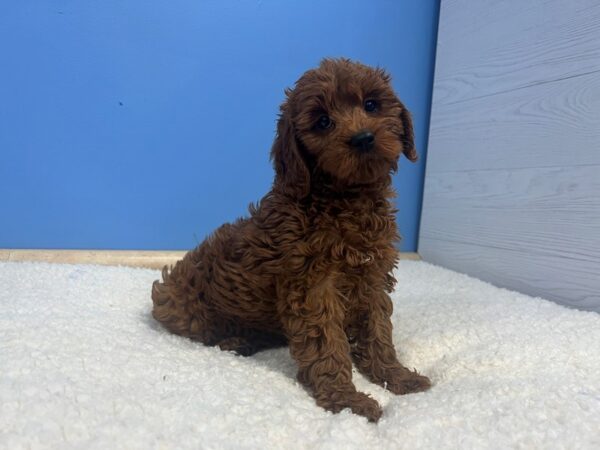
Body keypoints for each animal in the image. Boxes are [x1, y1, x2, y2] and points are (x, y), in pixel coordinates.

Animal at [152, 59, 428, 422]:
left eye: (371, 105)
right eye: (323, 122)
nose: (363, 138)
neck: (345, 197)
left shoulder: (371, 277)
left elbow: (378, 331)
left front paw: (396, 376)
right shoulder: (312, 285)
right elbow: (327, 344)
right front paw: (346, 400)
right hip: (180, 307)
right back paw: (234, 340)